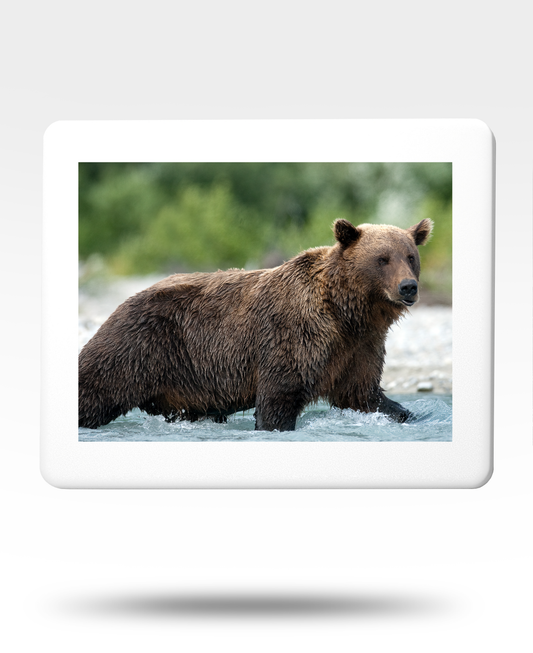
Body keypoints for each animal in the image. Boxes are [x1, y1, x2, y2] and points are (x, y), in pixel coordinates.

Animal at [79, 218, 433, 431]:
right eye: (382, 259)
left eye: (410, 256)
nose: (408, 287)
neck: (348, 312)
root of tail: (125, 301)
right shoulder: (294, 333)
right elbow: (279, 396)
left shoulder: (359, 347)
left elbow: (363, 394)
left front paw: (408, 414)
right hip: (141, 344)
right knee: (96, 386)